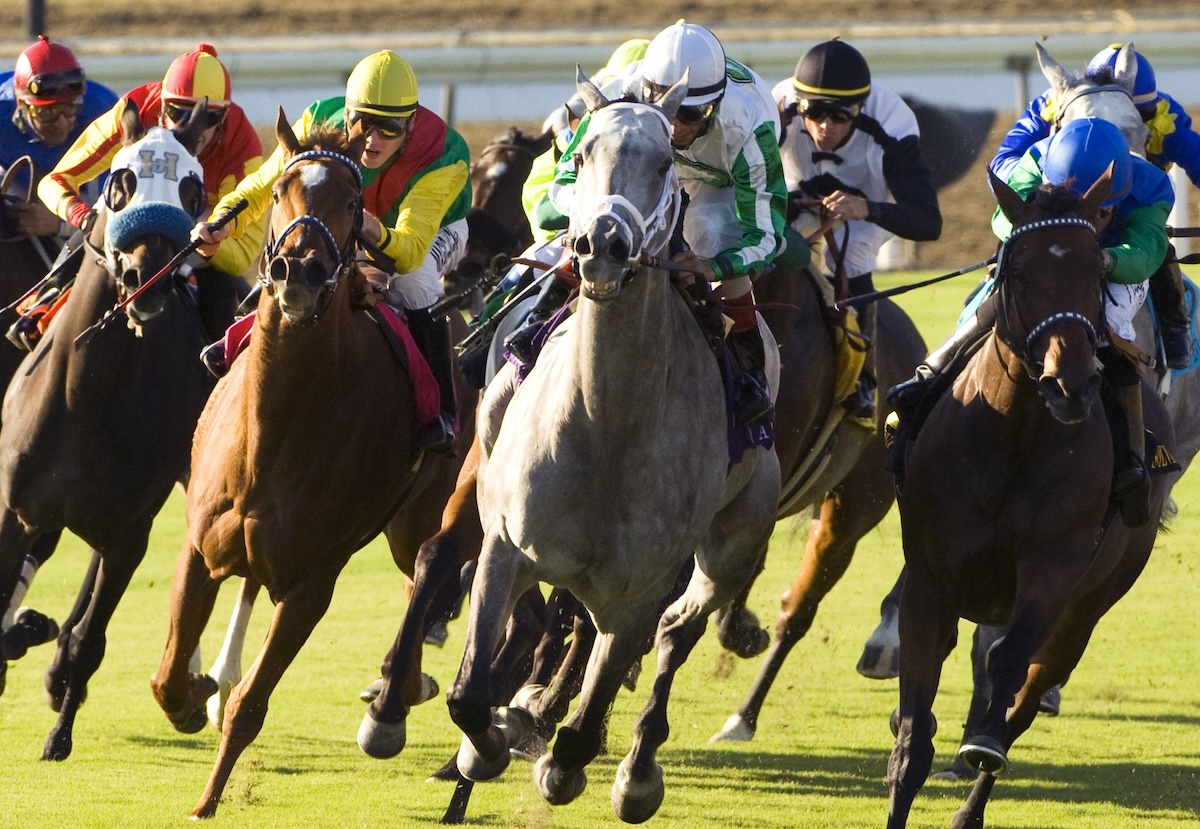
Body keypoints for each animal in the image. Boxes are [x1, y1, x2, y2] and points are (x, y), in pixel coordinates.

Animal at [0, 100, 211, 763]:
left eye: (192, 190)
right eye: (122, 180)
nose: (149, 274)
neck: (86, 394)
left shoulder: (129, 532)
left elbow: (93, 636)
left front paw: (59, 733)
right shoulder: (16, 510)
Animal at [151, 113, 477, 820]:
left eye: (352, 203)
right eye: (280, 191)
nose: (298, 268)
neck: (274, 435)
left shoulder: (310, 585)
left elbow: (249, 706)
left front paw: (208, 799)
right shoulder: (200, 548)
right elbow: (167, 678)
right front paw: (193, 699)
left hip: (424, 513)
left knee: (441, 577)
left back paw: (407, 706)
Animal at [446, 72, 782, 825]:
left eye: (662, 164)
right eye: (580, 152)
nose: (600, 243)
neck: (604, 424)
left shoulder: (643, 585)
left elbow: (580, 729)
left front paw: (567, 759)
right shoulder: (506, 543)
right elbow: (468, 695)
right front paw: (488, 741)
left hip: (733, 540)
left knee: (676, 631)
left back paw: (635, 765)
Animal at [888, 171, 1176, 825]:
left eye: (1097, 269)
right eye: (1018, 269)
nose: (1071, 385)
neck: (1011, 437)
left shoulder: (1055, 570)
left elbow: (1008, 664)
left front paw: (982, 739)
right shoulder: (930, 583)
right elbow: (913, 740)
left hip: (1087, 611)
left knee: (1022, 699)